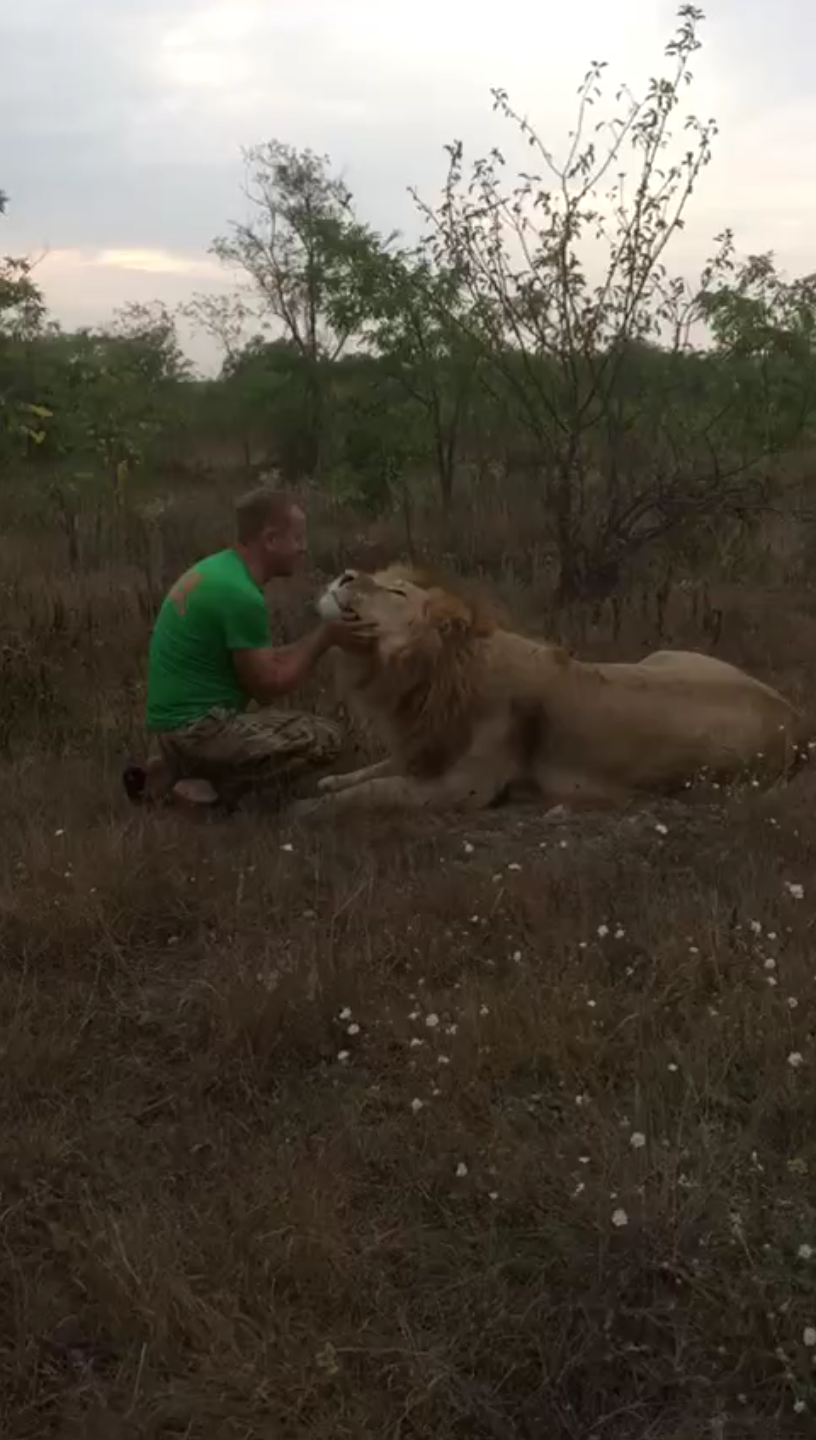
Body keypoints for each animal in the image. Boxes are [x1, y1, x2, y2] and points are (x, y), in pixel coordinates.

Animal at [303, 558, 805, 812]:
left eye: (397, 591)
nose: (345, 574)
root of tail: (798, 719)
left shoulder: (467, 786)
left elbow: (381, 790)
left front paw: (320, 805)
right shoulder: (423, 747)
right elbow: (374, 770)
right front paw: (329, 780)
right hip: (664, 655)